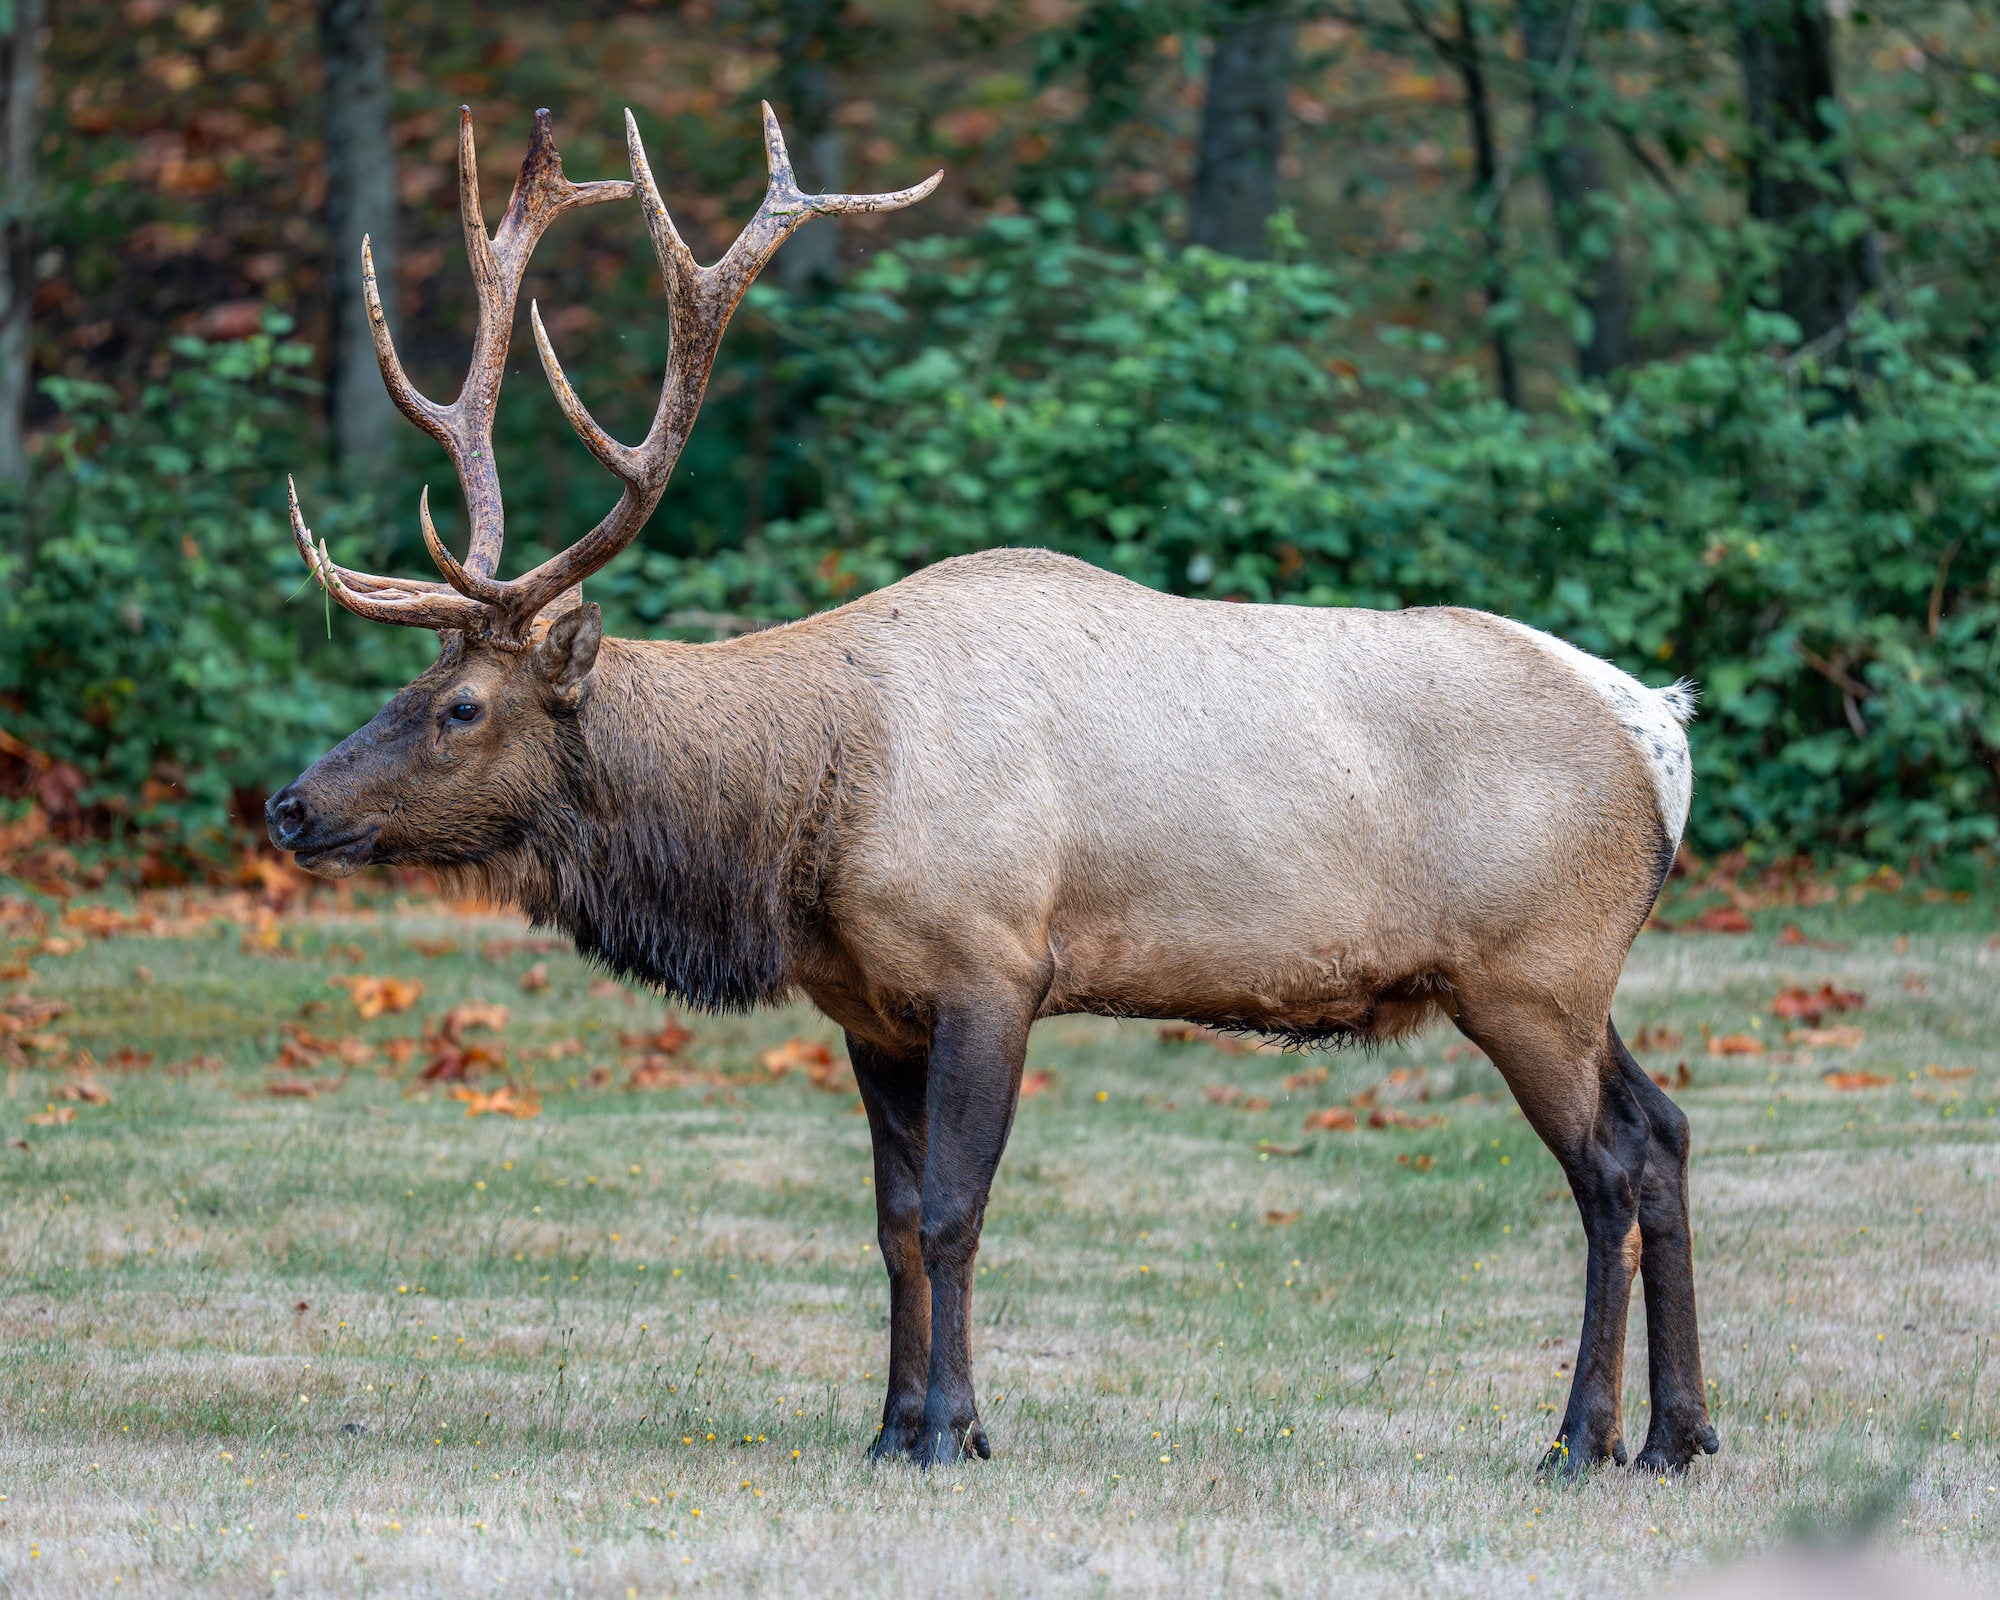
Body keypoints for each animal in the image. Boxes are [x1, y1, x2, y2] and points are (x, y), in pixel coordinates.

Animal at [267, 104, 1719, 1478]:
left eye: (461, 704)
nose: (290, 805)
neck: (804, 822)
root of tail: (1662, 731)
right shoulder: (869, 1007)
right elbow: (892, 1223)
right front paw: (890, 1424)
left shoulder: (993, 965)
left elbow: (956, 1210)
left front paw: (950, 1430)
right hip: (1572, 978)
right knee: (1663, 1131)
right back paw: (1678, 1434)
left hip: (1530, 968)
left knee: (1604, 1169)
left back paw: (1579, 1438)